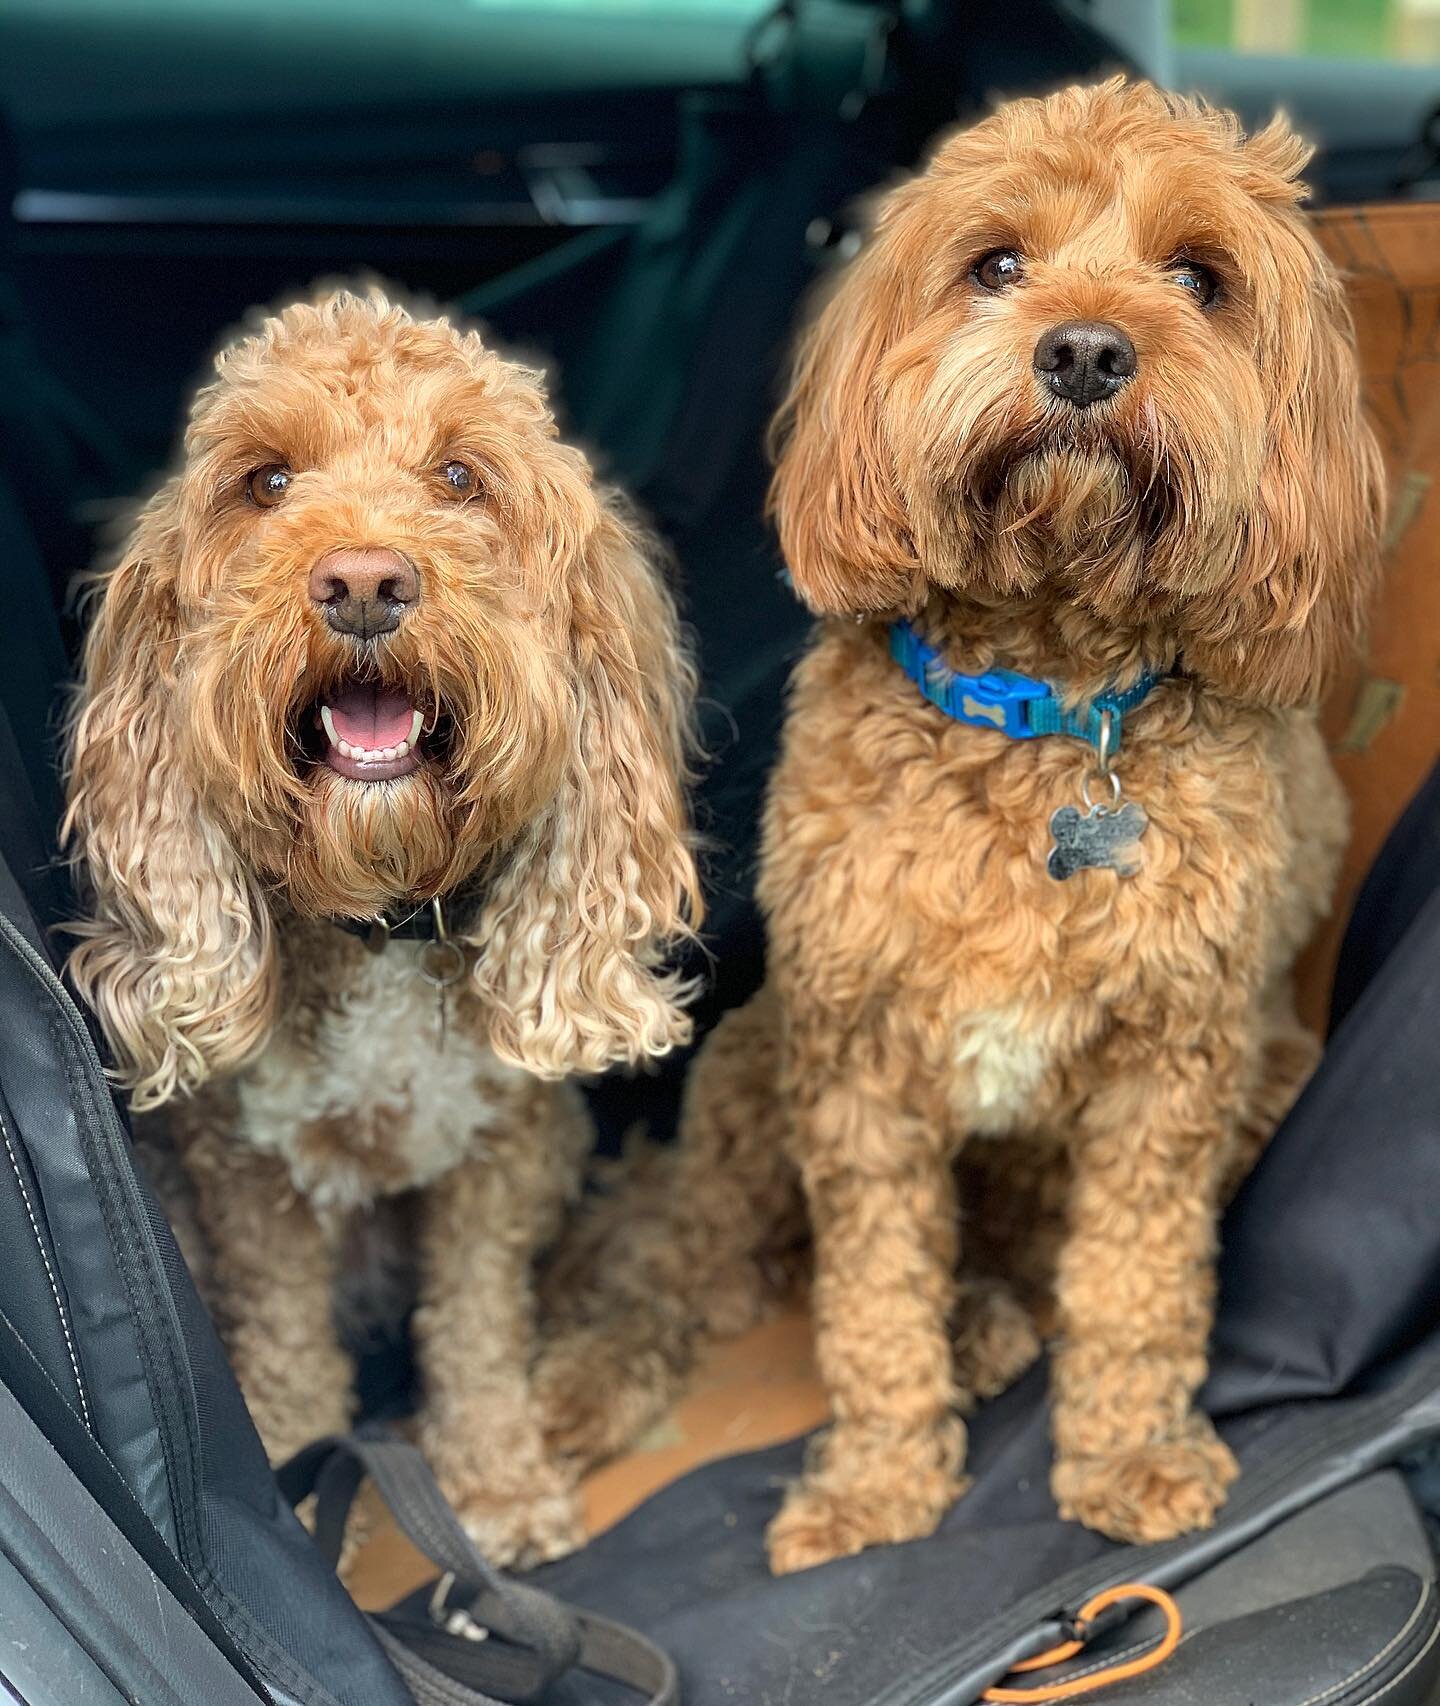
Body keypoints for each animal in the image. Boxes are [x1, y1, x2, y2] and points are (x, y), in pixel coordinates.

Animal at [64, 286, 699, 1562]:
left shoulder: (500, 1151)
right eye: (265, 482)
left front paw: (497, 1481)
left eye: (461, 476)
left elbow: (478, 1323)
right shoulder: (251, 1172)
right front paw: (298, 1489)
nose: (363, 581)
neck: (378, 919)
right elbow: (286, 1348)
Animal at [535, 80, 1385, 1569]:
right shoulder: (857, 1063)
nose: (1089, 351)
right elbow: (874, 1302)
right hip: (755, 1066)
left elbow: (1132, 1285)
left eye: (1200, 278)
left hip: (1270, 1070)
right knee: (682, 1260)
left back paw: (989, 1321)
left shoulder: (1173, 1066)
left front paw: (1129, 1453)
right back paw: (592, 1374)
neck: (1041, 706)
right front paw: (879, 1485)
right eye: (994, 263)